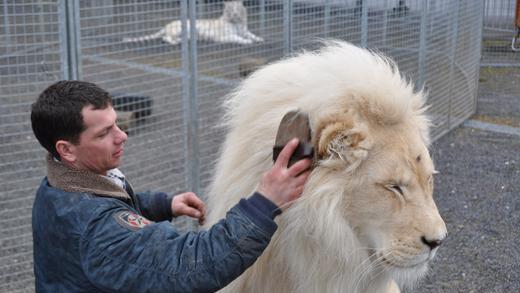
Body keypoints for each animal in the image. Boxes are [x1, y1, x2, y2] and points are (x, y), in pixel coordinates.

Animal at [121, 0, 260, 45]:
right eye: (231, 9)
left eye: (238, 9)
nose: (235, 14)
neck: (237, 23)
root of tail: (166, 25)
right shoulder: (224, 36)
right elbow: (237, 38)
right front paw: (247, 41)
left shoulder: (245, 30)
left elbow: (252, 34)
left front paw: (259, 39)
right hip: (180, 28)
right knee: (166, 38)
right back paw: (177, 42)